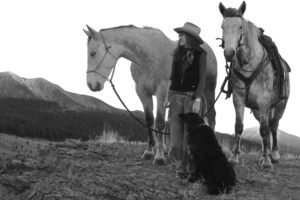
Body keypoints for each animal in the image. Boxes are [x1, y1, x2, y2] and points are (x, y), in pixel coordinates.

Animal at [84, 25, 218, 165]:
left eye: (92, 53)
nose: (91, 85)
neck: (148, 55)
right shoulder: (143, 92)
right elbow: (149, 120)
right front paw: (149, 152)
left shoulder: (162, 92)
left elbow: (159, 122)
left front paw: (159, 157)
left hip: (208, 89)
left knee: (211, 116)